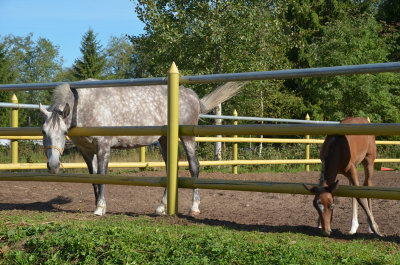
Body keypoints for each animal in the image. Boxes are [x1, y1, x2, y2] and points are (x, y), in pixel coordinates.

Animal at [41, 81, 247, 216]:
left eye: (63, 131)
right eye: (43, 131)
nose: (52, 165)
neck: (84, 105)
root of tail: (192, 95)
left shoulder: (103, 147)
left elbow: (102, 176)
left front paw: (100, 208)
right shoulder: (86, 151)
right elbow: (93, 179)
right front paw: (97, 204)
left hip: (188, 137)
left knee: (194, 167)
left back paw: (194, 208)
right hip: (164, 140)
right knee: (170, 169)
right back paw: (161, 207)